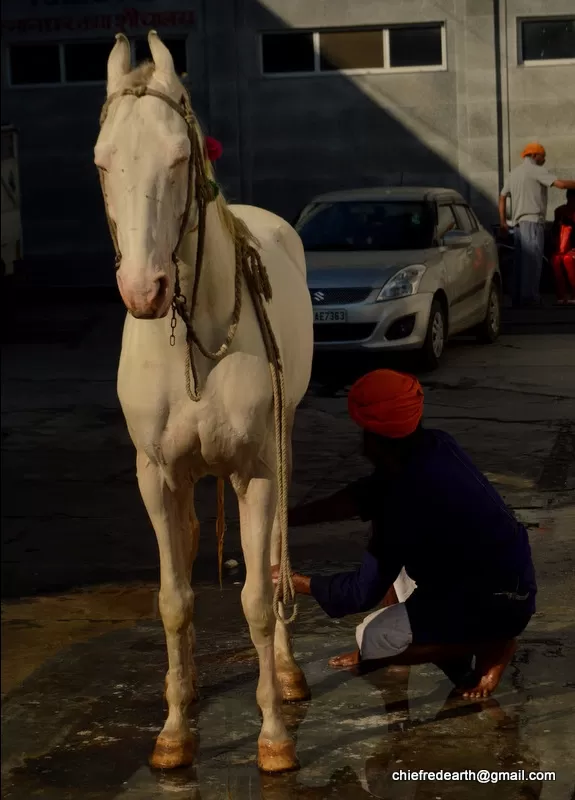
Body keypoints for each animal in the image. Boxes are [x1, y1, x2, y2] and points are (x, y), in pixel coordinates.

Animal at [94, 32, 312, 776]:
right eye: (102, 162)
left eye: (179, 157)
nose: (144, 290)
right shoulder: (156, 476)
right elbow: (174, 601)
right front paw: (174, 730)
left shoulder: (256, 472)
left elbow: (255, 599)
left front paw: (273, 735)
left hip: (283, 444)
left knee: (274, 556)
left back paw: (286, 672)